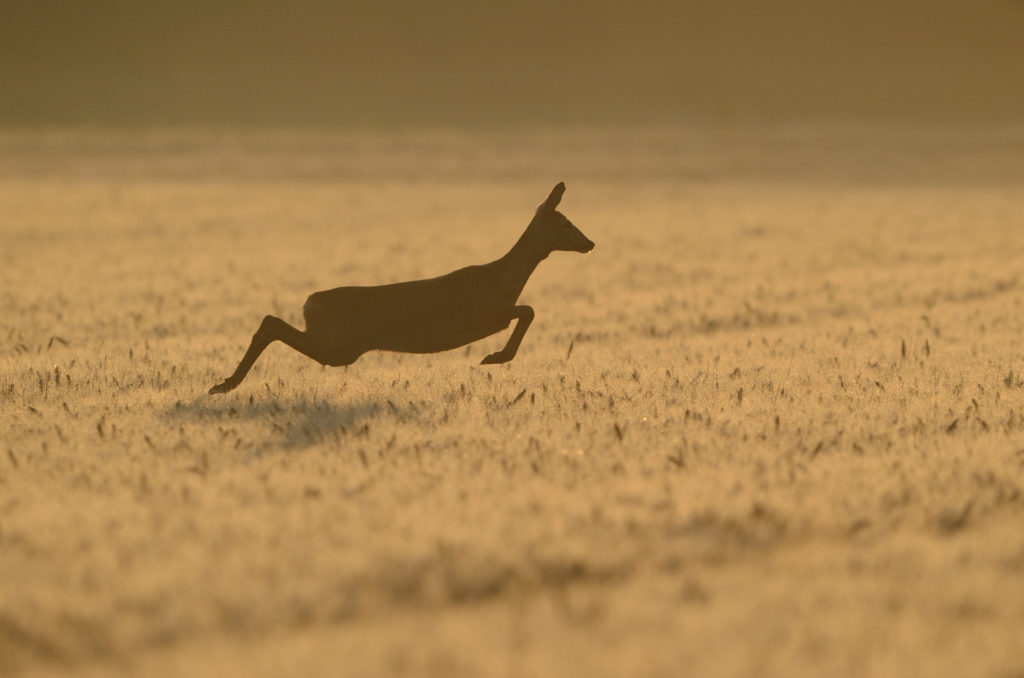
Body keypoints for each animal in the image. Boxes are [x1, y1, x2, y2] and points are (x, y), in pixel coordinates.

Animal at [207, 183, 593, 395]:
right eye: (564, 222)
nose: (589, 243)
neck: (504, 278)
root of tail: (309, 303)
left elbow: (528, 310)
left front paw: (496, 357)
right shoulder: (485, 314)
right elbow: (528, 310)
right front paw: (495, 357)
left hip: (338, 343)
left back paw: (224, 383)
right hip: (339, 345)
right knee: (272, 323)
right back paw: (225, 384)